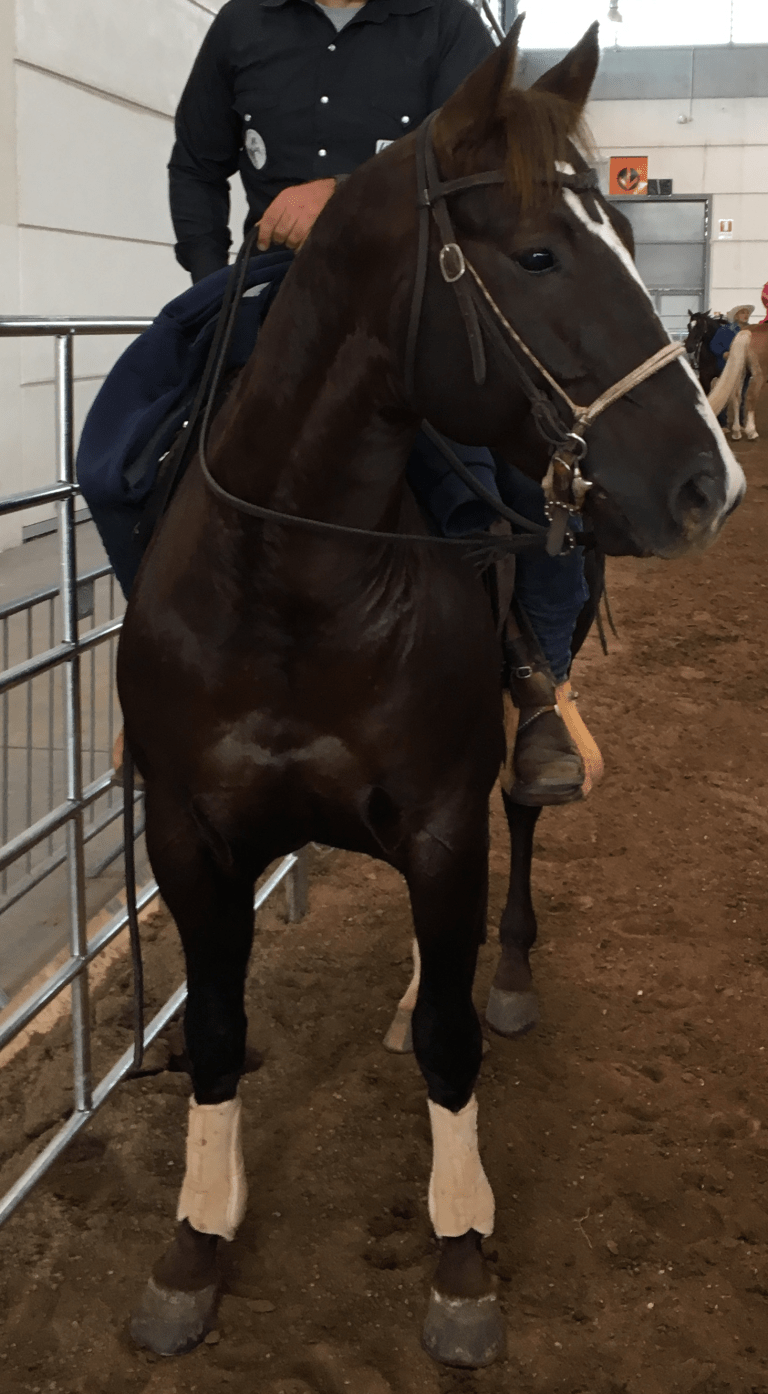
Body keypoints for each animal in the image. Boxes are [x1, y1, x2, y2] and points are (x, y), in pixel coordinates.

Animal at [119, 19, 744, 1369]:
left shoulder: (447, 814)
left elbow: (454, 1045)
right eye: (539, 250)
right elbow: (216, 1031)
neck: (291, 580)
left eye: (627, 234)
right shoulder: (189, 833)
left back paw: (496, 972)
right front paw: (195, 1235)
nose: (708, 483)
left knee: (518, 829)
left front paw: (461, 1249)